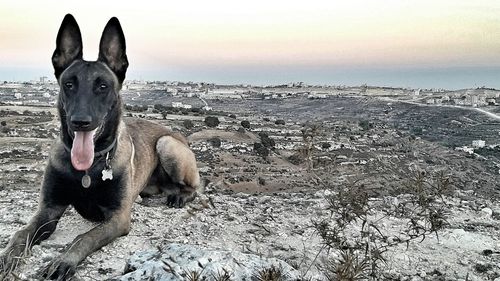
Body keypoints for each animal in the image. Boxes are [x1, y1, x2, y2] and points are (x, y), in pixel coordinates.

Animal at [0, 14, 199, 278]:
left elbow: (84, 238)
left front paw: (63, 261)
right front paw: (6, 258)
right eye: (69, 84)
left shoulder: (117, 218)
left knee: (195, 187)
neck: (90, 168)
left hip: (166, 144)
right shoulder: (48, 210)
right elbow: (21, 233)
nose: (80, 121)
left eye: (103, 86)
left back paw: (180, 196)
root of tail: (177, 134)